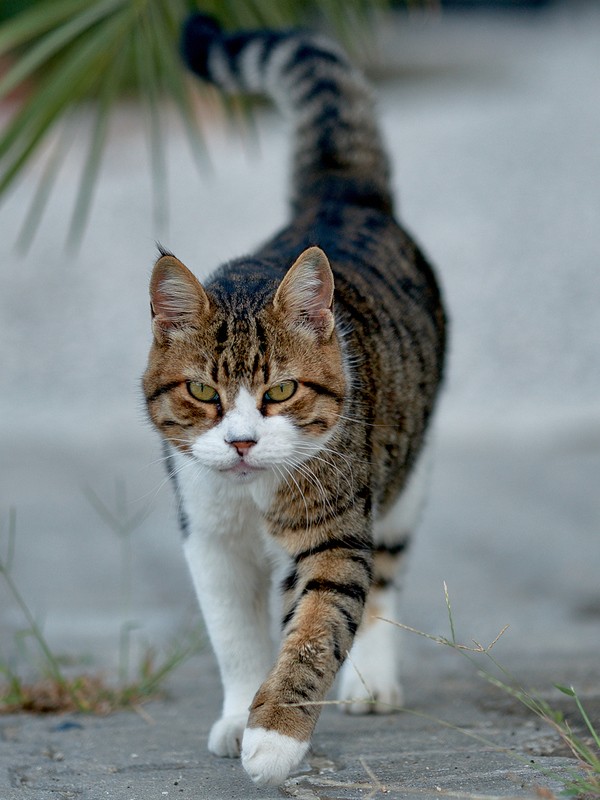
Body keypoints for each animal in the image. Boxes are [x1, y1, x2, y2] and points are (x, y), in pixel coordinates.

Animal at [142, 12, 446, 788]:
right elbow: (233, 635)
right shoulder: (210, 535)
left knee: (385, 574)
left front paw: (275, 732)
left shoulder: (336, 533)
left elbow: (316, 629)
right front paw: (238, 712)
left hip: (405, 473)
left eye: (280, 390)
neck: (256, 497)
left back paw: (370, 681)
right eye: (203, 391)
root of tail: (337, 196)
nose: (243, 441)